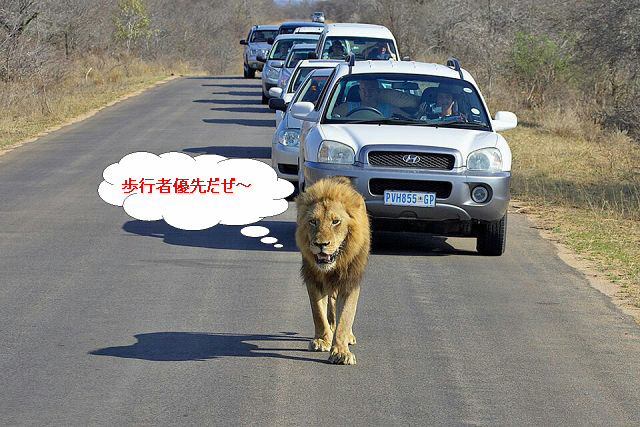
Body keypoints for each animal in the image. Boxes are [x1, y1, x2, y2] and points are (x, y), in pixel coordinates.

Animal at [295, 176, 371, 365]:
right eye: (313, 221)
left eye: (335, 221)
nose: (321, 244)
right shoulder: (313, 279)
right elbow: (318, 313)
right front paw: (322, 340)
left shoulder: (350, 282)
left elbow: (345, 317)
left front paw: (341, 352)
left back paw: (348, 337)